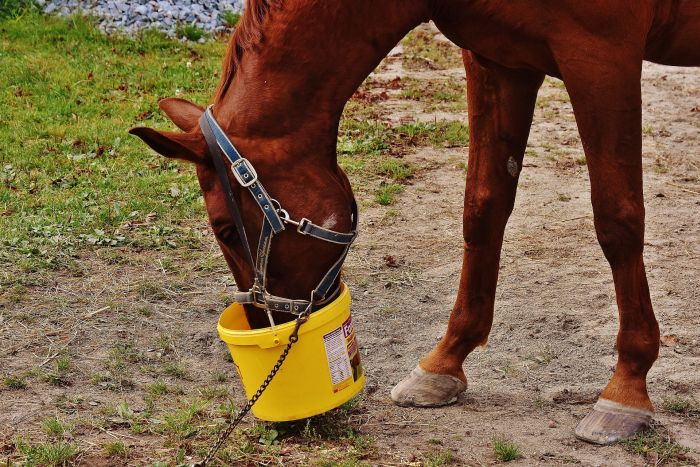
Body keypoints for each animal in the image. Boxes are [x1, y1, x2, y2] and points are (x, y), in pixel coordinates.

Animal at [130, 0, 700, 445]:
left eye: (226, 229)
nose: (261, 324)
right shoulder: (499, 60)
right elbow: (483, 208)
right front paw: (445, 362)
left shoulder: (602, 57)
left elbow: (617, 220)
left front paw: (627, 387)